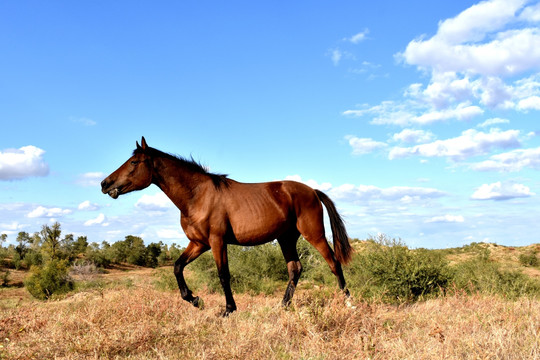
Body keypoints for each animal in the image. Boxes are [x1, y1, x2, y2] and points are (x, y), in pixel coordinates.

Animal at [101, 137, 354, 316]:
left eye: (134, 162)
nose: (105, 184)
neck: (197, 195)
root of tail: (312, 191)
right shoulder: (198, 243)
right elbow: (177, 267)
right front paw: (195, 299)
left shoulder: (216, 241)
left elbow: (223, 274)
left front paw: (228, 310)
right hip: (286, 238)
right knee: (295, 269)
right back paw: (282, 306)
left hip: (314, 234)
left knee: (334, 263)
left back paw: (348, 303)